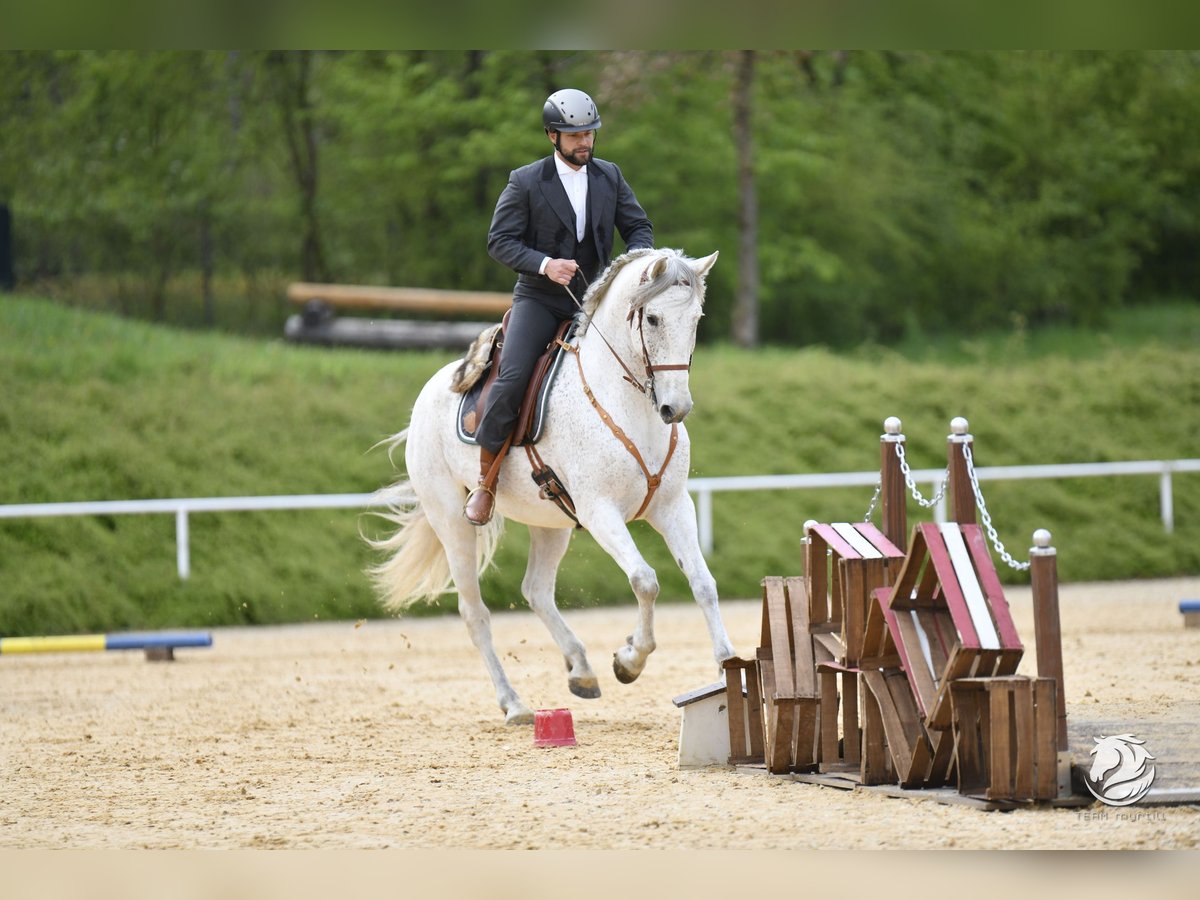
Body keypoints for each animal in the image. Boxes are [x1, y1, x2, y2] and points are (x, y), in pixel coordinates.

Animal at [367, 248, 739, 724]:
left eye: (696, 318)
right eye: (653, 319)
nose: (676, 408)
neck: (629, 405)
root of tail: (429, 392)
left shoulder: (674, 507)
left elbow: (703, 582)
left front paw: (727, 667)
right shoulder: (600, 512)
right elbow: (645, 580)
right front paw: (630, 660)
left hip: (551, 523)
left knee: (536, 590)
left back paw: (581, 670)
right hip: (452, 520)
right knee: (474, 612)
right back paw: (514, 703)